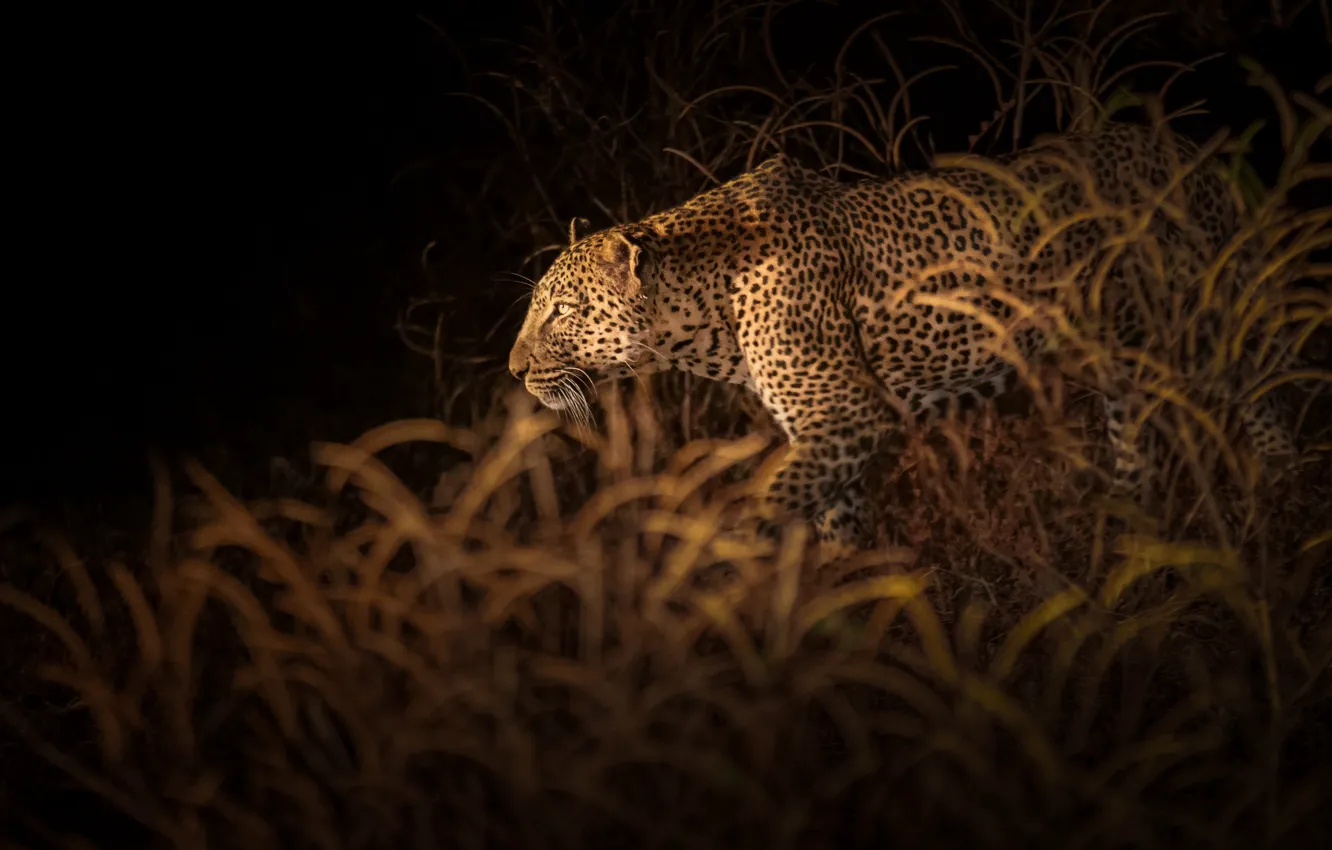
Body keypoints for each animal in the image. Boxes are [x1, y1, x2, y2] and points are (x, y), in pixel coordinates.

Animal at [503, 119, 1305, 548]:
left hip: (1197, 322)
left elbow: (766, 506)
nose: (512, 370)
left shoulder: (847, 414)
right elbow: (834, 521)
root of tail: (1192, 153)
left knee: (1263, 382)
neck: (705, 314)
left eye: (563, 311)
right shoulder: (825, 433)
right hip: (1121, 358)